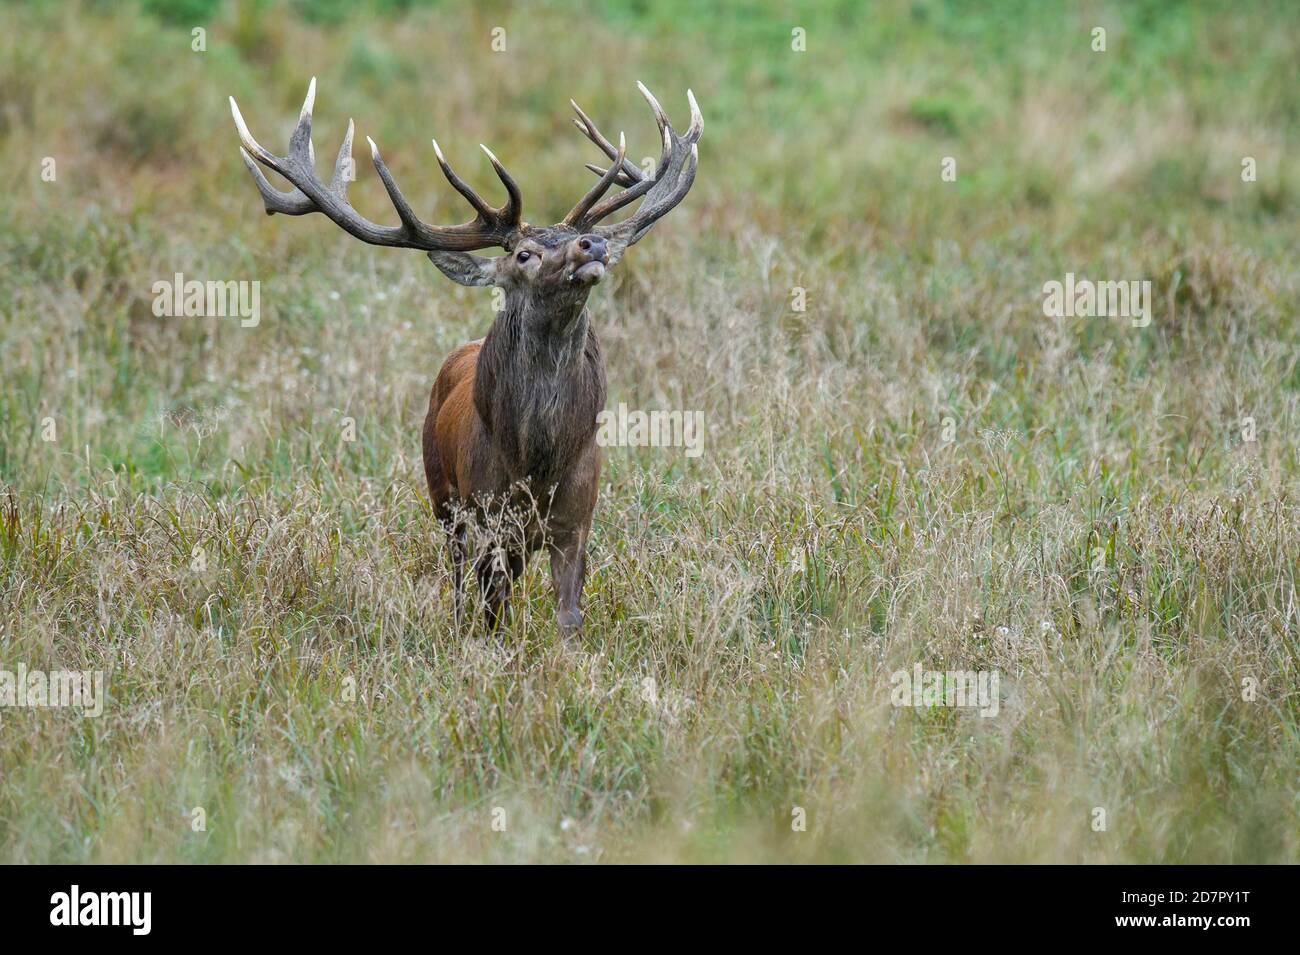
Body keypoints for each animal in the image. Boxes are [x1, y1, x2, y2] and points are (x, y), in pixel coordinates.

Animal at [228, 78, 707, 639]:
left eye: (573, 238)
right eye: (523, 254)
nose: (592, 245)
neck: (537, 460)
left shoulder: (578, 515)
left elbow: (568, 615)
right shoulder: (487, 511)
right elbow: (491, 603)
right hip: (442, 494)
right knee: (460, 577)